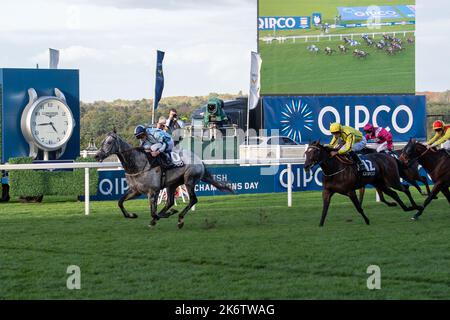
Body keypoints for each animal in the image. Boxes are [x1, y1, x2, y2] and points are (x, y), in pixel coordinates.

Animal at [95, 131, 236, 229]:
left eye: (109, 142)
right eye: (102, 142)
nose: (97, 155)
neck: (138, 163)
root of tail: (199, 160)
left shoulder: (153, 191)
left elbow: (153, 212)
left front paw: (167, 214)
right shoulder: (135, 191)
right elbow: (120, 202)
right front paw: (132, 215)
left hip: (189, 180)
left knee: (192, 199)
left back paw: (179, 219)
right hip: (172, 185)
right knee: (170, 202)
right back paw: (163, 217)